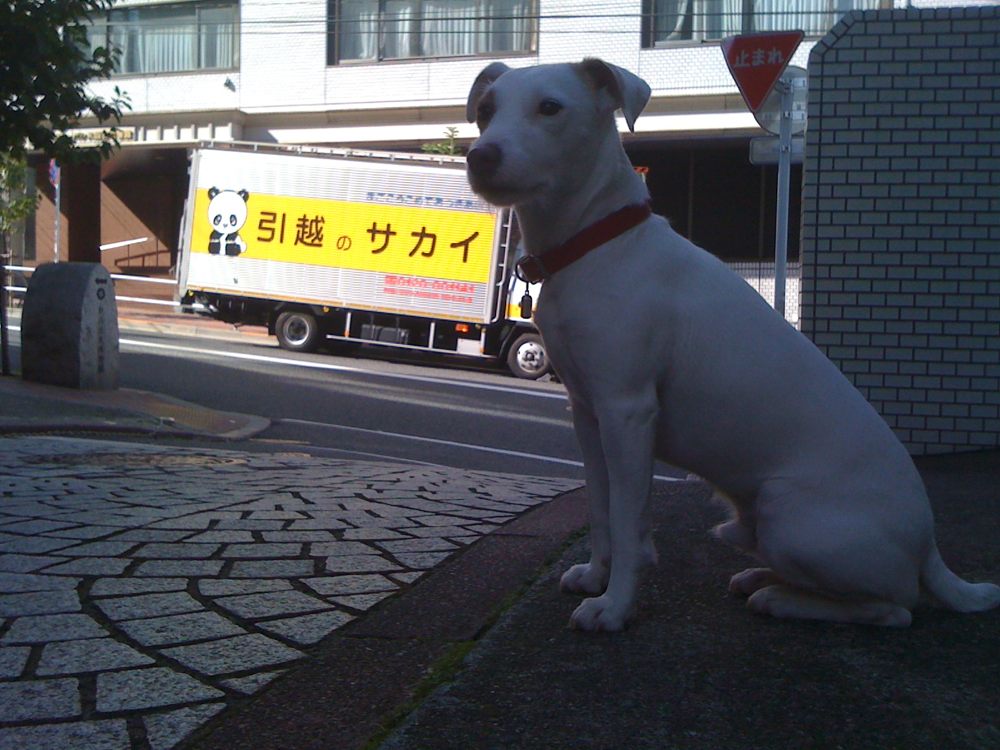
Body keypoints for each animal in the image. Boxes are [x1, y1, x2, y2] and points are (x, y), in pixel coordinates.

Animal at [465, 58, 1000, 631]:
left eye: (550, 108)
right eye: (486, 110)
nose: (480, 156)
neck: (595, 244)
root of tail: (929, 547)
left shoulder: (628, 411)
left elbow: (629, 524)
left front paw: (614, 606)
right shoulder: (588, 413)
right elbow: (602, 511)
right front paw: (594, 576)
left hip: (790, 512)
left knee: (893, 607)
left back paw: (781, 599)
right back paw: (763, 578)